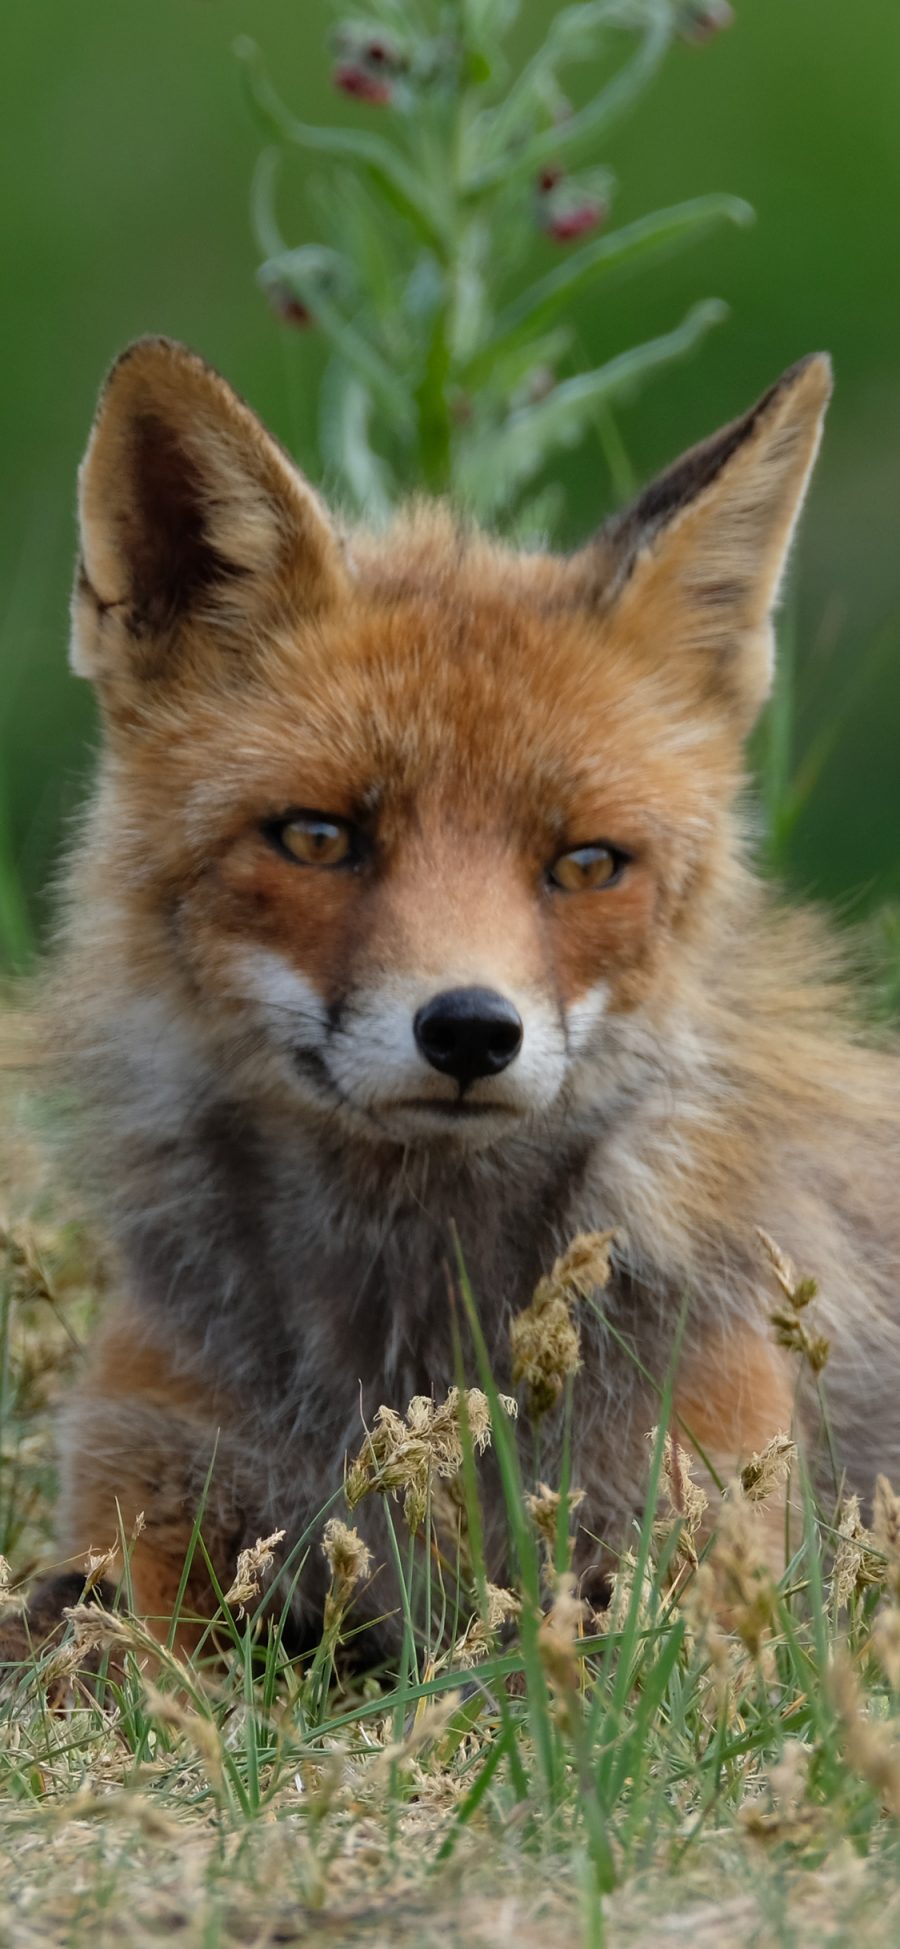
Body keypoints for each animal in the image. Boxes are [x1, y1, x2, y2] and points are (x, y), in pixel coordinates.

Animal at [7, 335, 900, 1660]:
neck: (403, 1343)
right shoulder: (151, 1497)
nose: (472, 1030)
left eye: (586, 863)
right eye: (318, 836)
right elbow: (85, 1640)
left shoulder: (708, 1569)